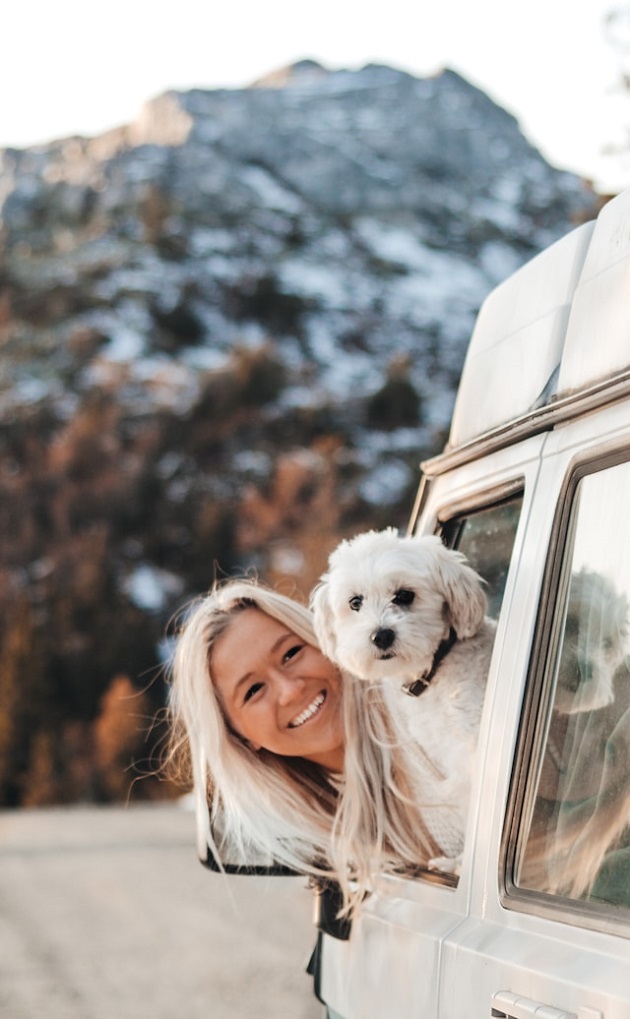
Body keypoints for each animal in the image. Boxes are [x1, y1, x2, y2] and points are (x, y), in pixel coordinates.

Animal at [309, 529, 495, 872]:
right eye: (355, 602)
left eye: (405, 595)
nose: (381, 635)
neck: (434, 670)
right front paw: (459, 861)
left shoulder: (473, 751)